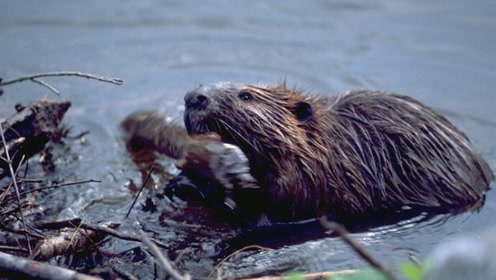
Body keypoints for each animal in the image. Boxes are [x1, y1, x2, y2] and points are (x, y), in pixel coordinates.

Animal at [122, 82, 494, 225]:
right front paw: (179, 183)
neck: (334, 144)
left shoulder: (317, 179)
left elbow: (275, 208)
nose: (193, 96)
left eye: (246, 95)